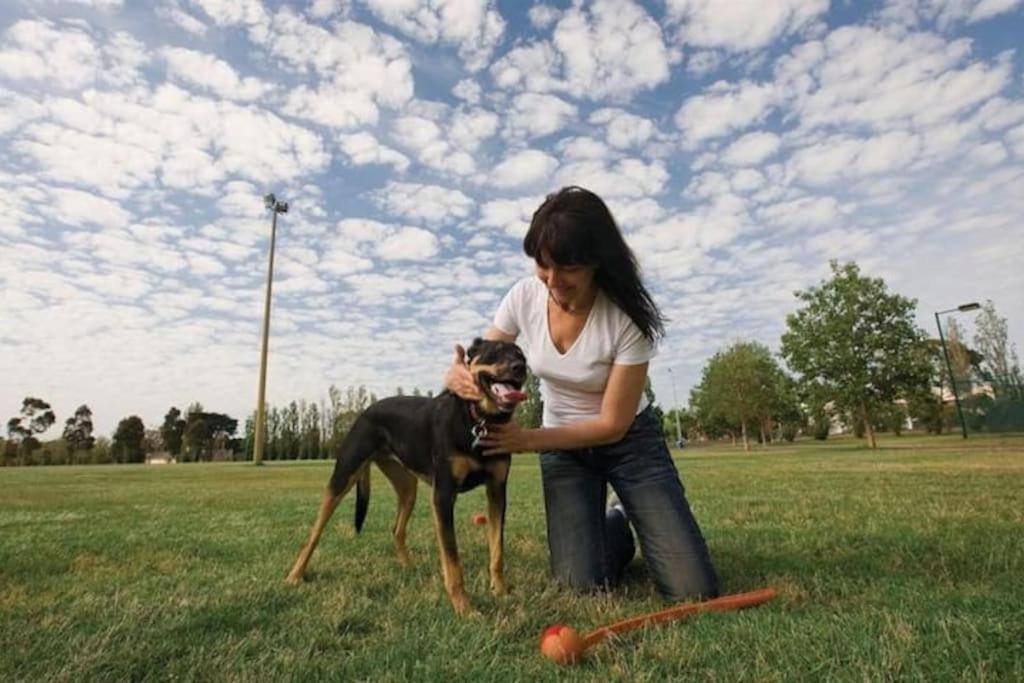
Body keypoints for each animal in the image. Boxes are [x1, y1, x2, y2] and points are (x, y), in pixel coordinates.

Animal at [288, 339, 528, 618]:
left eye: (521, 355)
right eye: (496, 351)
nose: (520, 367)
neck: (477, 420)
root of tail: (366, 410)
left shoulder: (497, 491)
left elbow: (497, 549)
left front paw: (500, 591)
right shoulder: (443, 495)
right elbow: (453, 560)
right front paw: (465, 608)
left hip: (407, 487)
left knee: (397, 529)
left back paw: (409, 567)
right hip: (343, 476)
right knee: (314, 534)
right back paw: (295, 575)